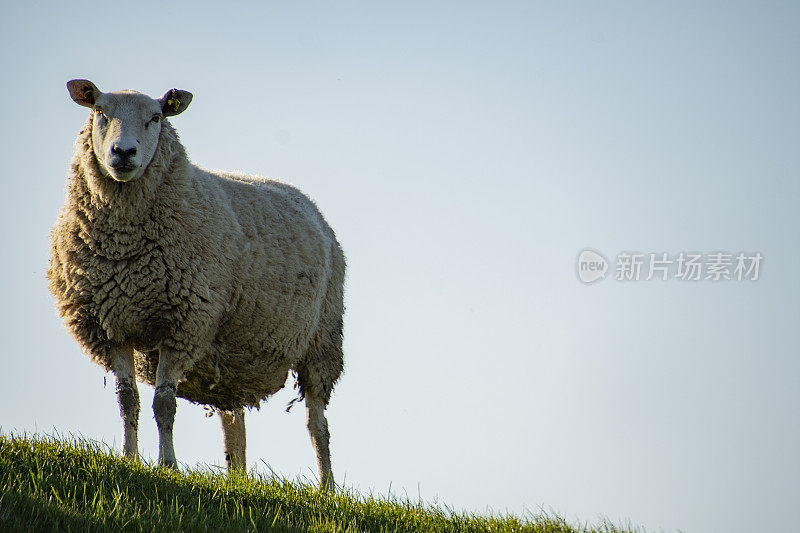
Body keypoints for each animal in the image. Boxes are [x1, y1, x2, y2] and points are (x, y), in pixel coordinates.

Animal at [47, 77, 344, 488]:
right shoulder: (111, 326)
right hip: (233, 353)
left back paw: (327, 487)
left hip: (322, 340)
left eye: (156, 117)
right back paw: (237, 478)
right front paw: (128, 458)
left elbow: (164, 403)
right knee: (234, 423)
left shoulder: (183, 323)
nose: (123, 153)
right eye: (100, 112)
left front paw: (167, 465)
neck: (123, 245)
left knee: (317, 422)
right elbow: (127, 400)